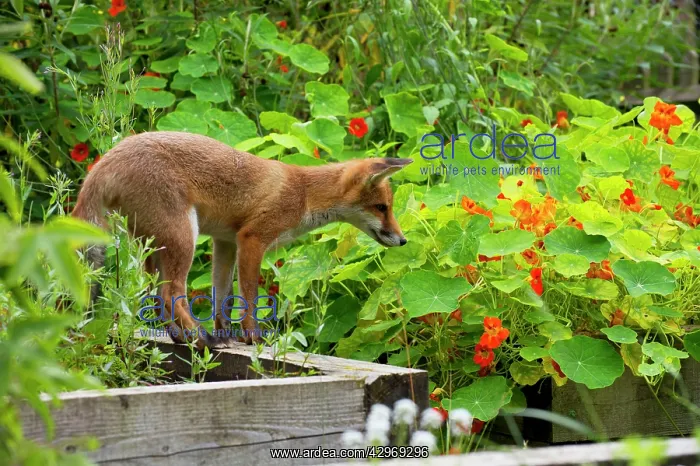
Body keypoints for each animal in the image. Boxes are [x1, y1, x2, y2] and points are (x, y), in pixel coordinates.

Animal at [72, 131, 412, 349]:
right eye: (382, 208)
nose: (403, 240)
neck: (304, 194)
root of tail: (104, 162)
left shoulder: (226, 242)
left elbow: (223, 295)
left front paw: (228, 335)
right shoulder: (252, 238)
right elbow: (248, 296)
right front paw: (253, 337)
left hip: (155, 247)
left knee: (157, 296)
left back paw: (184, 338)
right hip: (183, 237)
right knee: (171, 294)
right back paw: (200, 339)